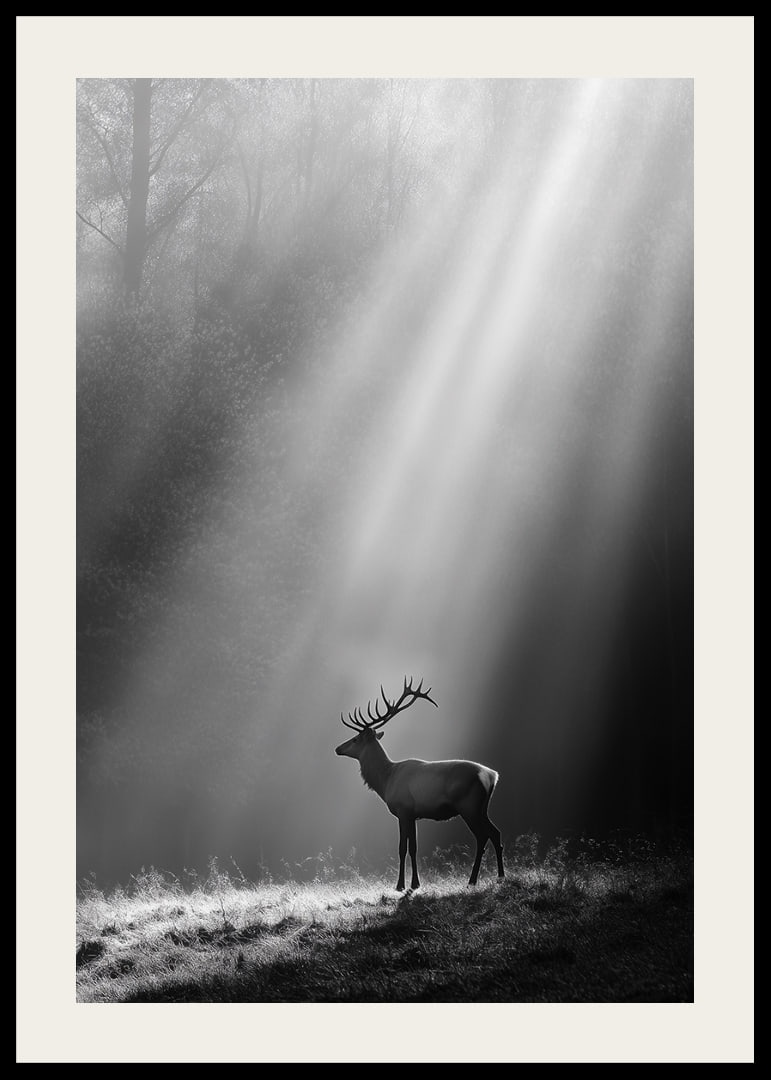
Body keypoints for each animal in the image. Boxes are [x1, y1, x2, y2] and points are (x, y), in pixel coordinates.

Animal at [335, 677, 504, 891]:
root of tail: (492, 775)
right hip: (482, 808)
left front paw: (401, 885)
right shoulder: (414, 814)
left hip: (469, 806)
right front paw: (415, 884)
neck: (386, 780)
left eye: (355, 739)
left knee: (482, 837)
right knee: (495, 833)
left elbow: (402, 848)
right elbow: (414, 848)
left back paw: (472, 881)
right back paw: (500, 877)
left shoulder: (403, 810)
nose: (337, 748)